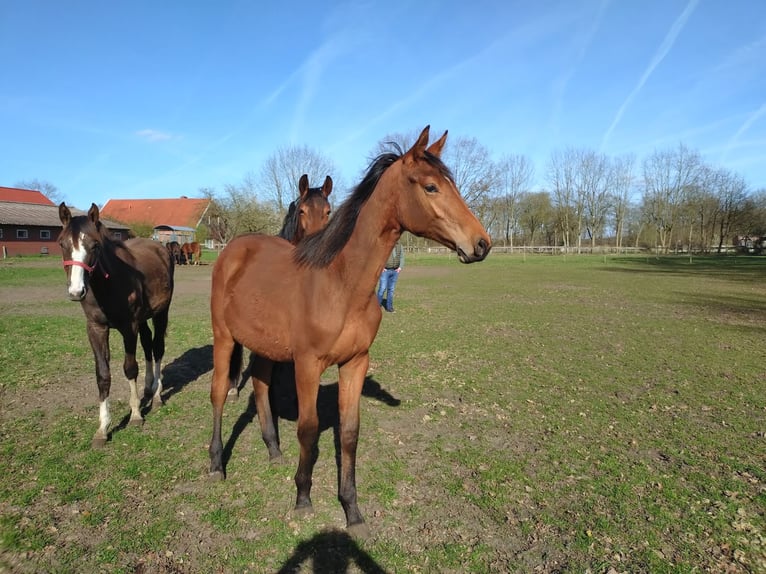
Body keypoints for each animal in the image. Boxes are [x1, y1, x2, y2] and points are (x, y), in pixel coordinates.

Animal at [58, 203, 175, 448]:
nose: (76, 291)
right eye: (62, 244)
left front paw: (136, 415)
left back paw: (157, 394)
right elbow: (103, 375)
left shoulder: (128, 328)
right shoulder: (96, 329)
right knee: (148, 344)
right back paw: (148, 387)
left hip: (161, 313)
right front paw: (103, 428)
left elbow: (130, 368)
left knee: (158, 348)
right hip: (143, 319)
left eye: (94, 245)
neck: (107, 284)